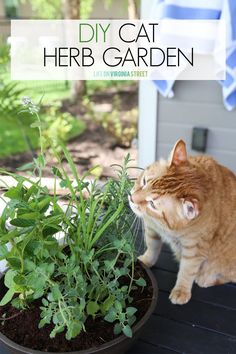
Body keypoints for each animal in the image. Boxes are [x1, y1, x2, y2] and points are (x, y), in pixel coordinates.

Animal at [129, 140, 236, 304]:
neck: (165, 227)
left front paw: (181, 291)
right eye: (144, 181)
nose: (131, 198)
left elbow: (187, 271)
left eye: (152, 204)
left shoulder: (195, 249)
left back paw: (205, 279)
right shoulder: (152, 228)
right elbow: (152, 247)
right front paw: (146, 260)